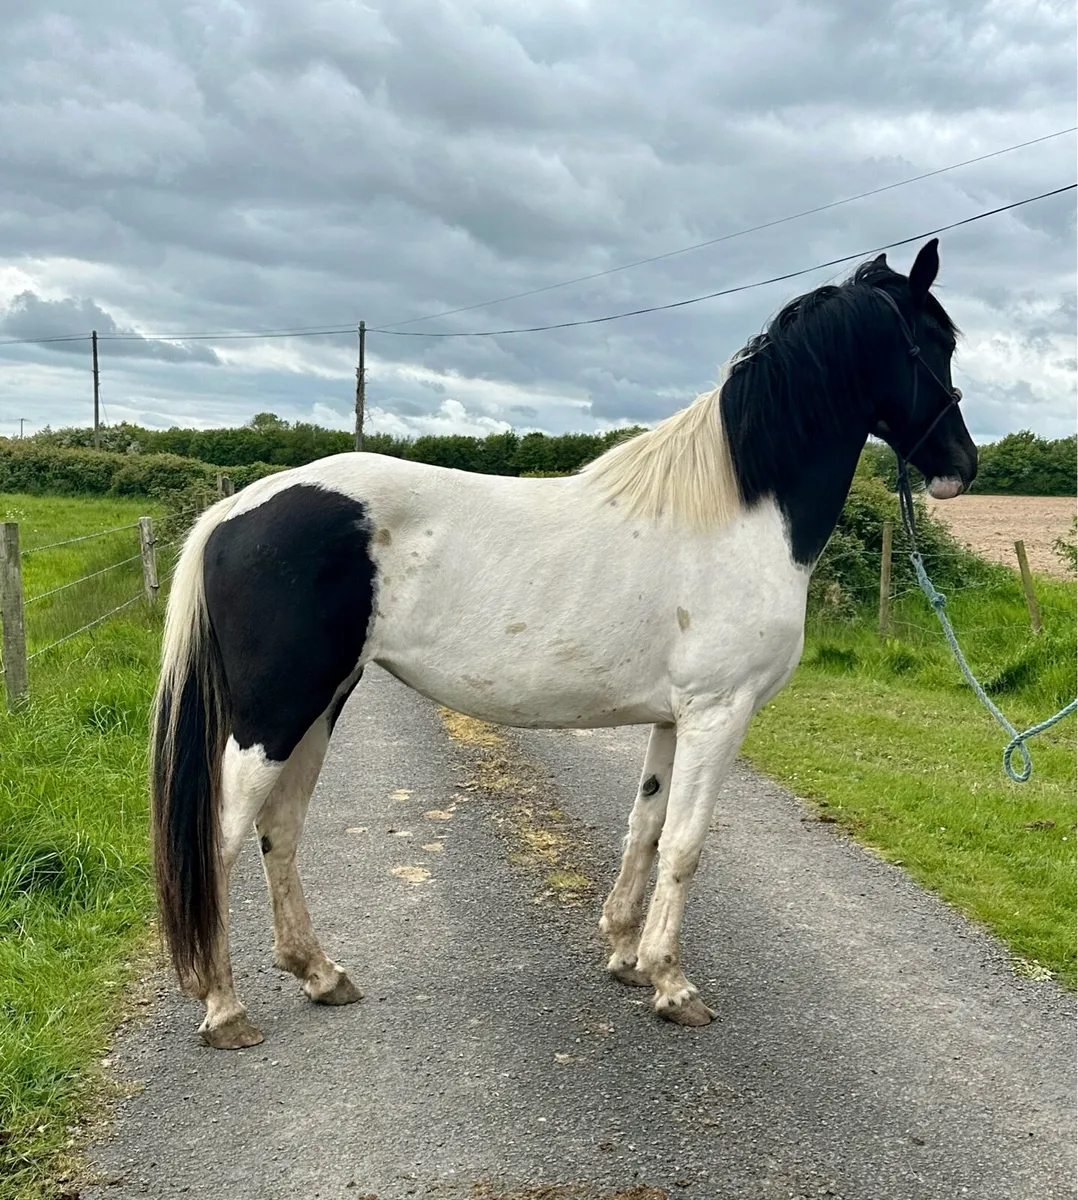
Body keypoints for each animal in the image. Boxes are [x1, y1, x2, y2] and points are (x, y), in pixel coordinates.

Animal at [150, 239, 977, 1049]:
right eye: (936, 342)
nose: (963, 468)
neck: (738, 513)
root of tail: (235, 509)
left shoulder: (674, 717)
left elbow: (646, 829)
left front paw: (626, 956)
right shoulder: (719, 712)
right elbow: (685, 845)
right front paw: (674, 986)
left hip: (321, 705)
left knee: (280, 829)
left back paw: (320, 975)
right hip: (274, 715)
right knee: (221, 843)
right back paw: (225, 1009)